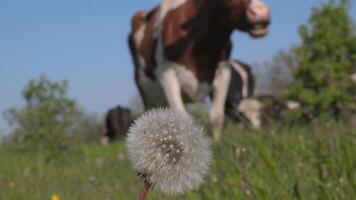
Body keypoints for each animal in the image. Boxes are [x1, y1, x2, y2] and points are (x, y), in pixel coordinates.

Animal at [128, 0, 270, 140]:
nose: (261, 12)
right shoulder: (167, 74)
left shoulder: (224, 72)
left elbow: (217, 117)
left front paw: (218, 142)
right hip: (145, 92)